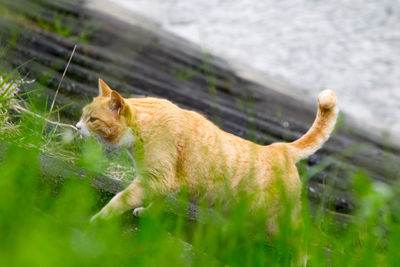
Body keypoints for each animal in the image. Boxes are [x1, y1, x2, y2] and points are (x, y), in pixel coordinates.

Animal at [77, 78, 338, 232]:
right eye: (82, 115)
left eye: (93, 119)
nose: (77, 127)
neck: (144, 126)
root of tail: (280, 148)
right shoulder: (161, 181)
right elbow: (157, 201)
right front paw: (148, 213)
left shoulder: (155, 178)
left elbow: (120, 199)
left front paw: (99, 219)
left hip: (279, 221)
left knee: (301, 245)